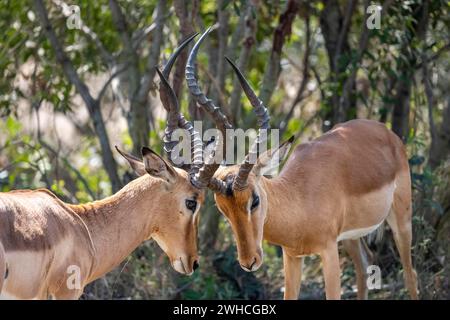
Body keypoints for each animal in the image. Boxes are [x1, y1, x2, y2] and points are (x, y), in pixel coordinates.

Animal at [182, 28, 418, 302]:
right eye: (223, 210)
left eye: (254, 200)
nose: (249, 261)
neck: (299, 199)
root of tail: (387, 132)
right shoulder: (292, 256)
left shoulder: (328, 251)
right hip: (351, 236)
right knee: (364, 267)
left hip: (401, 218)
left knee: (410, 274)